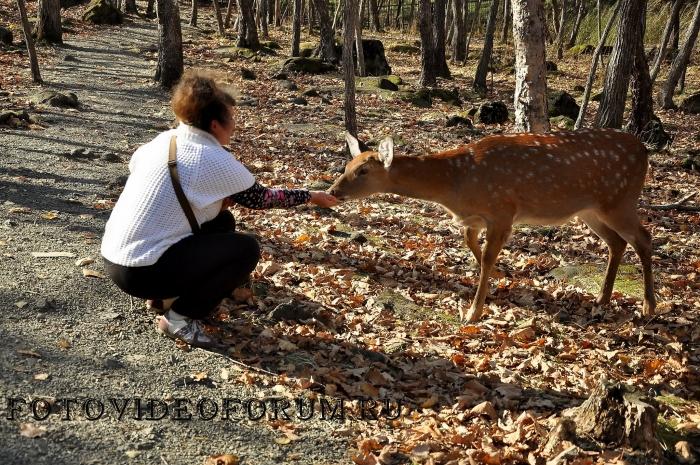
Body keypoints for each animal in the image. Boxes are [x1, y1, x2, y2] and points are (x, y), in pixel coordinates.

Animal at [328, 129, 656, 320]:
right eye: (347, 165)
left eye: (363, 171)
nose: (333, 191)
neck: (456, 184)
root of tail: (644, 149)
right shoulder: (474, 218)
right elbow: (471, 244)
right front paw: (499, 281)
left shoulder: (502, 211)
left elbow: (486, 257)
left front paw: (473, 312)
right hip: (589, 210)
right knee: (617, 242)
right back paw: (602, 298)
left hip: (619, 200)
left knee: (644, 237)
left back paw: (648, 306)